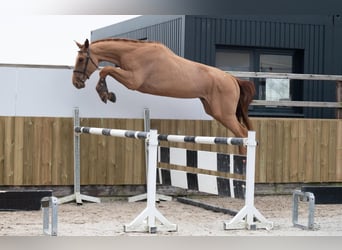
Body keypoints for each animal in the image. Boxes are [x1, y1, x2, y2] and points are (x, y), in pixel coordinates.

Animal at [71, 38, 254, 153]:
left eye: (81, 59)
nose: (76, 83)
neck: (132, 53)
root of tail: (232, 78)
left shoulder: (133, 81)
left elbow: (106, 70)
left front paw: (105, 94)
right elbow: (106, 71)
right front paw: (107, 94)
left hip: (223, 113)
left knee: (243, 133)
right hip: (213, 110)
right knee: (240, 134)